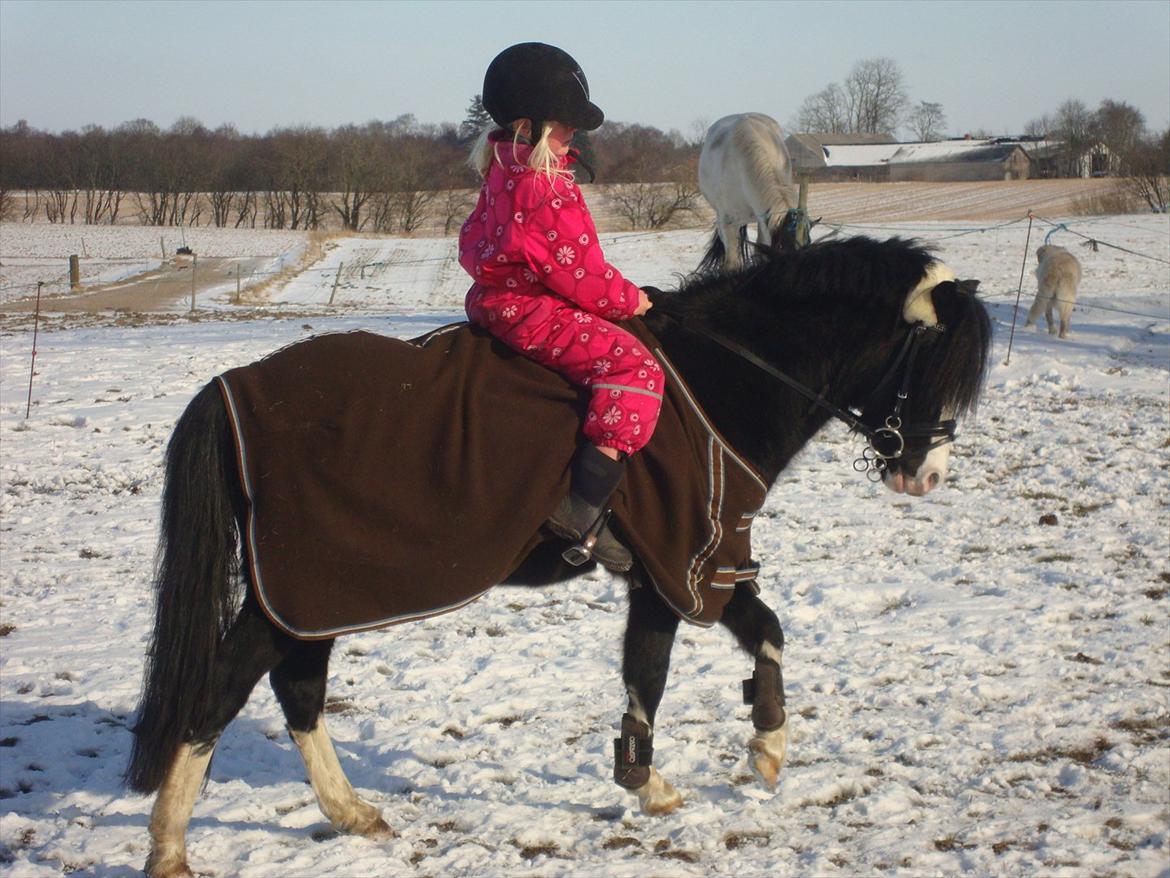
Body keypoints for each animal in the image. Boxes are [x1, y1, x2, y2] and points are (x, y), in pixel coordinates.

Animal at [125, 235, 987, 878]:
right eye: (929, 368)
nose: (927, 477)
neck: (723, 375)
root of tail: (232, 390)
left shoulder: (676, 568)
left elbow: (718, 644)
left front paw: (709, 762)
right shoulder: (688, 558)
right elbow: (679, 660)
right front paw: (704, 766)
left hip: (312, 595)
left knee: (297, 690)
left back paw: (353, 813)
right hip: (300, 590)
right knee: (224, 690)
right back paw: (170, 846)